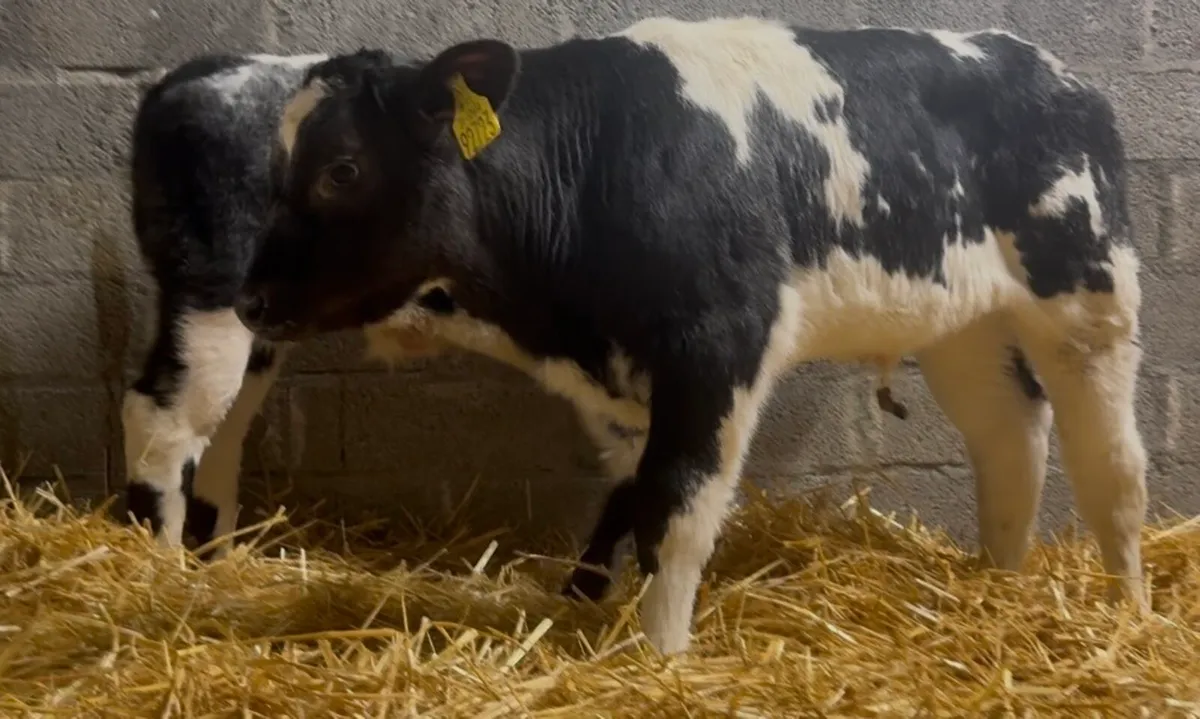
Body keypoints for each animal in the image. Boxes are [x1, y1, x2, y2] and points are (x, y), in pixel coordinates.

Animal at [233, 15, 1151, 655]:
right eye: (274, 168)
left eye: (342, 168)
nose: (247, 299)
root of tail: (1049, 68)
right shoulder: (618, 380)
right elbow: (627, 493)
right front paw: (588, 604)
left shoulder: (720, 347)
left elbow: (674, 506)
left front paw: (662, 653)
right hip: (964, 322)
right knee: (1009, 434)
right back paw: (1001, 583)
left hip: (1090, 294)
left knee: (1112, 466)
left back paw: (1126, 608)